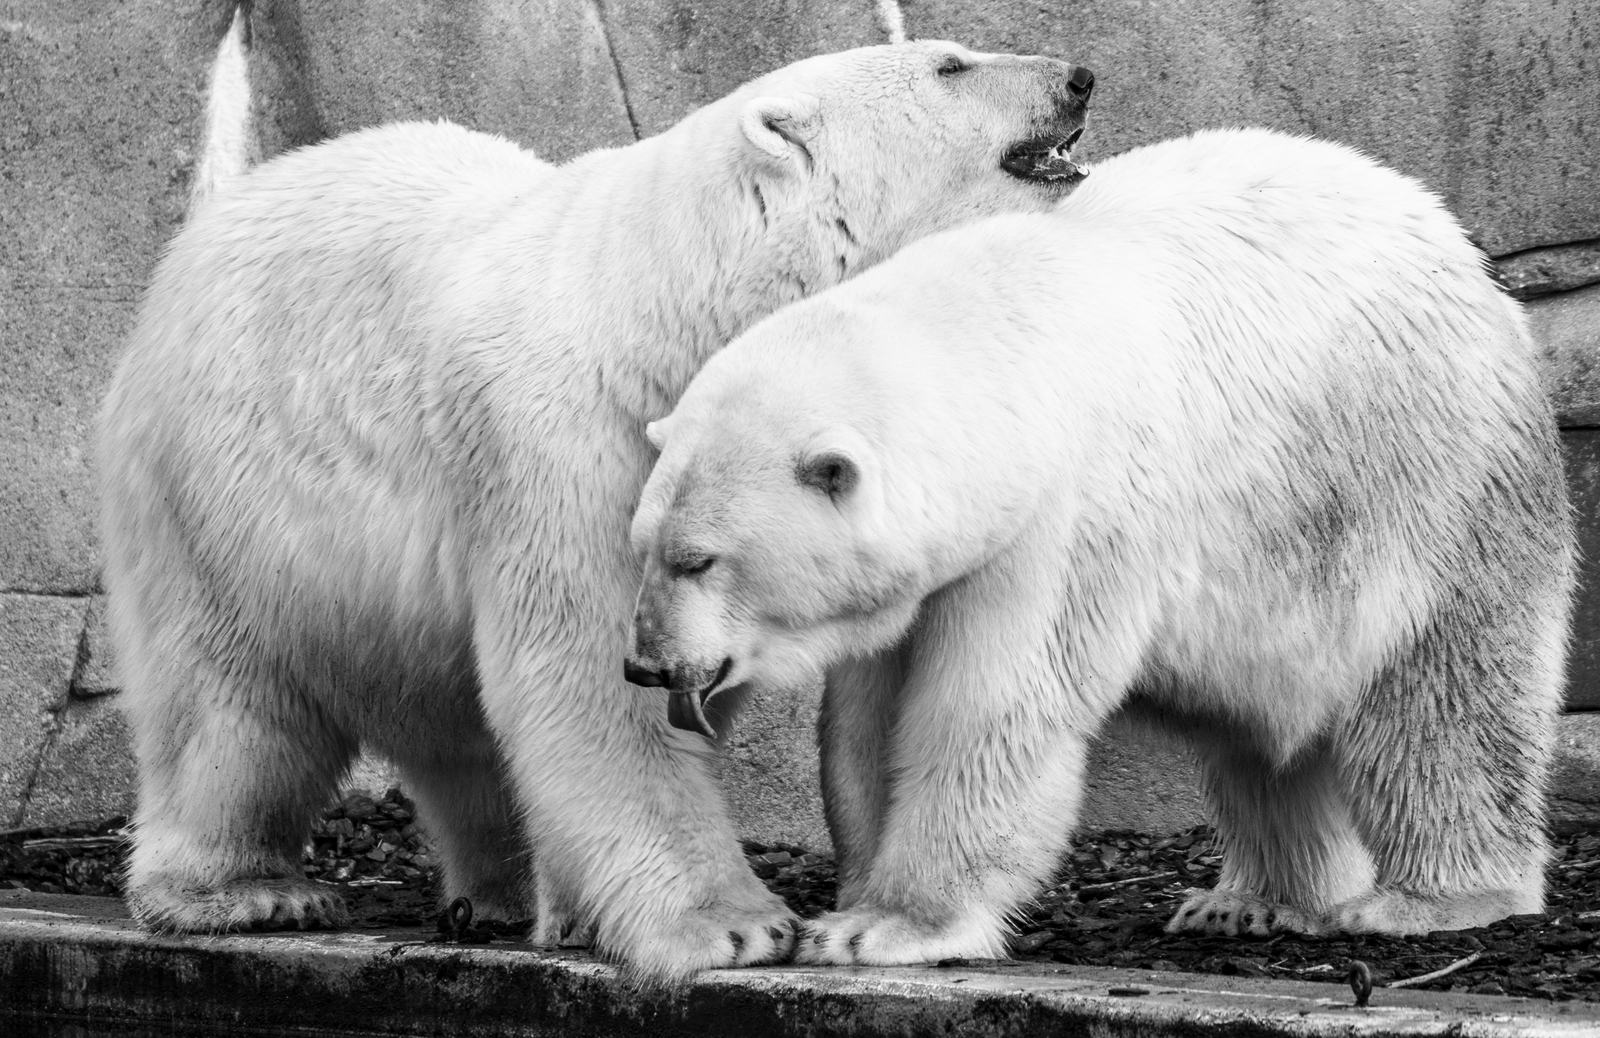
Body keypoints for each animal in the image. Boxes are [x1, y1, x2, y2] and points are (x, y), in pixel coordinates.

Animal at [96, 39, 1095, 979]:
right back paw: (245, 892)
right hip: (221, 494)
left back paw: (499, 897)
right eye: (951, 64)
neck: (664, 316)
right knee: (231, 705)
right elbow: (592, 676)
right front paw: (731, 925)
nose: (1080, 77)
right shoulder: (573, 446)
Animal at [625, 126, 1574, 966]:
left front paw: (882, 928)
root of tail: (1465, 254)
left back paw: (1433, 898)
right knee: (1262, 726)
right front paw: (855, 896)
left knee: (1443, 688)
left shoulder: (1067, 520)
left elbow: (993, 709)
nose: (645, 664)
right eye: (645, 543)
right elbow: (867, 717)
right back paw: (1251, 902)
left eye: (698, 559)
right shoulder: (933, 565)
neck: (997, 349)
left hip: (1427, 476)